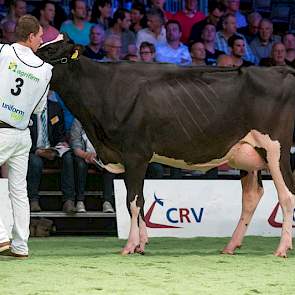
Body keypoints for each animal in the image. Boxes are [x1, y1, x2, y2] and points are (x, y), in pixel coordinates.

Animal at [37, 34, 295, 256]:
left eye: (50, 50)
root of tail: (282, 70)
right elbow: (140, 202)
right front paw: (141, 245)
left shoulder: (135, 154)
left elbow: (134, 201)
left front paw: (130, 246)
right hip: (247, 154)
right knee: (252, 196)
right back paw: (231, 246)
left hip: (276, 150)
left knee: (287, 195)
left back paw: (281, 249)